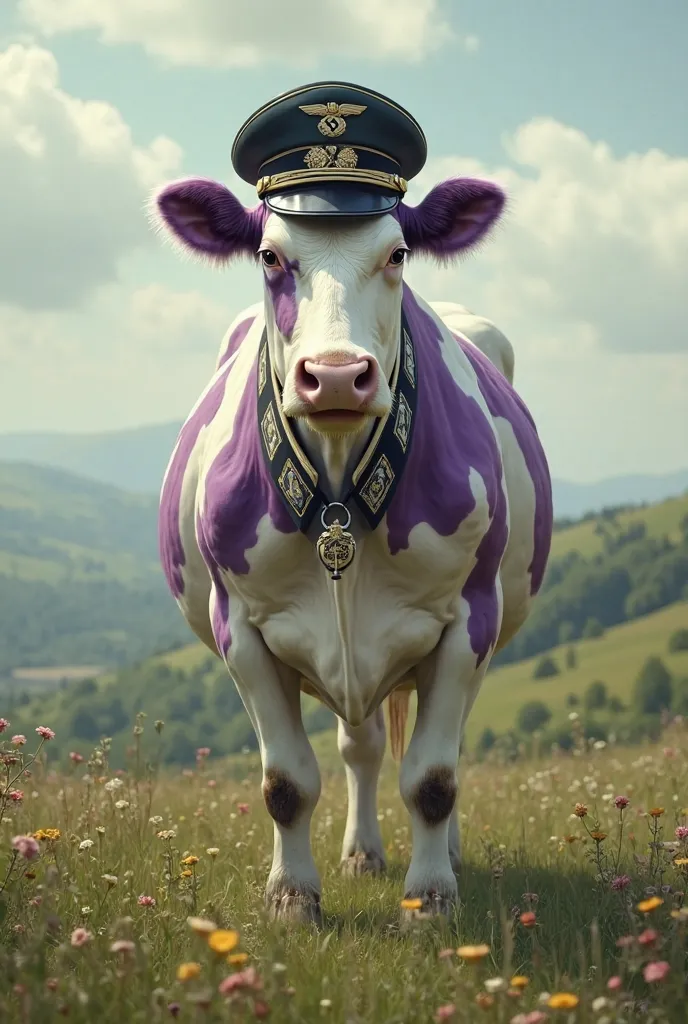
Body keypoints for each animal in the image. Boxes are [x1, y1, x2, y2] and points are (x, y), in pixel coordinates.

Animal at [151, 92, 552, 925]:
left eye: (397, 255)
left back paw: (444, 855)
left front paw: (431, 897)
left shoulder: (468, 620)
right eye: (270, 257)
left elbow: (433, 777)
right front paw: (292, 896)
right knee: (360, 747)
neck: (339, 483)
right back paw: (362, 851)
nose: (335, 375)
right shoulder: (243, 628)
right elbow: (286, 782)